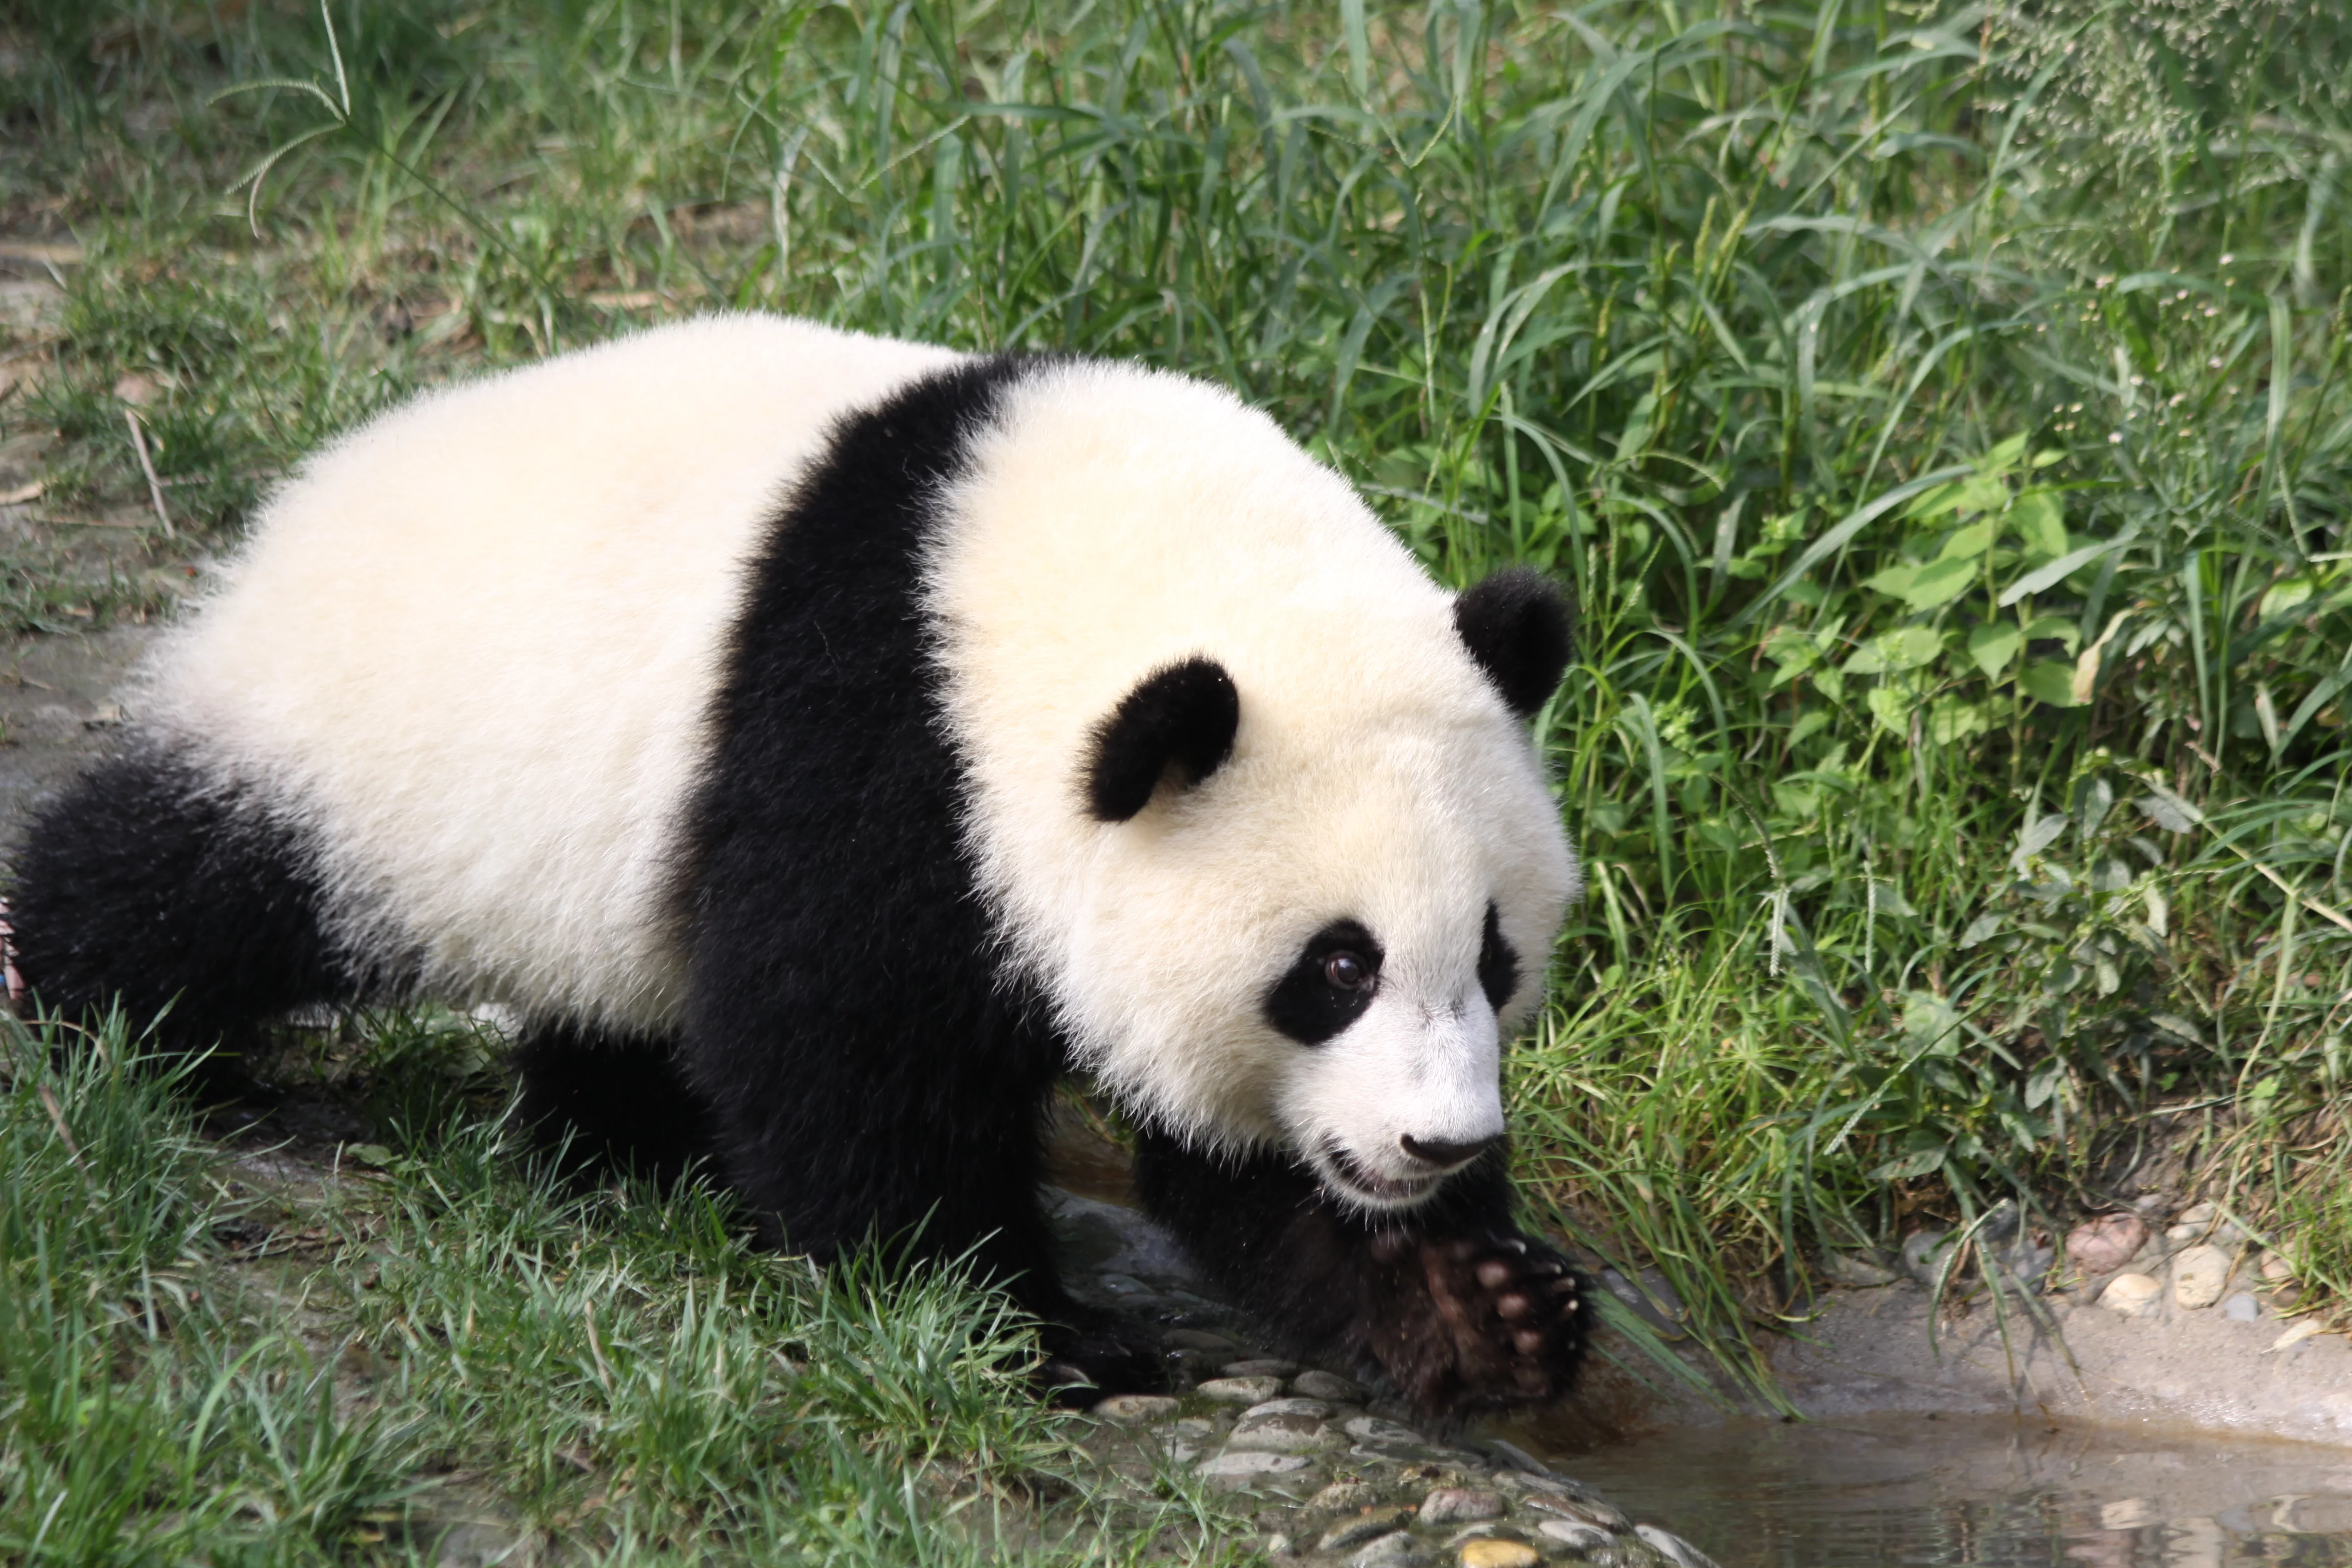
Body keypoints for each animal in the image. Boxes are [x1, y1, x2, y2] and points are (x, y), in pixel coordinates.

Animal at [6, 315, 1591, 1416]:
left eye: (1493, 955)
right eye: (1337, 966)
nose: (1437, 1146)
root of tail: (304, 494)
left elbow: (1233, 1163)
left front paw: (1477, 1305)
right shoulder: (880, 745)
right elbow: (844, 1052)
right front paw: (1034, 1329)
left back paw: (622, 1148)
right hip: (352, 745)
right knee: (189, 881)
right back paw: (92, 1020)